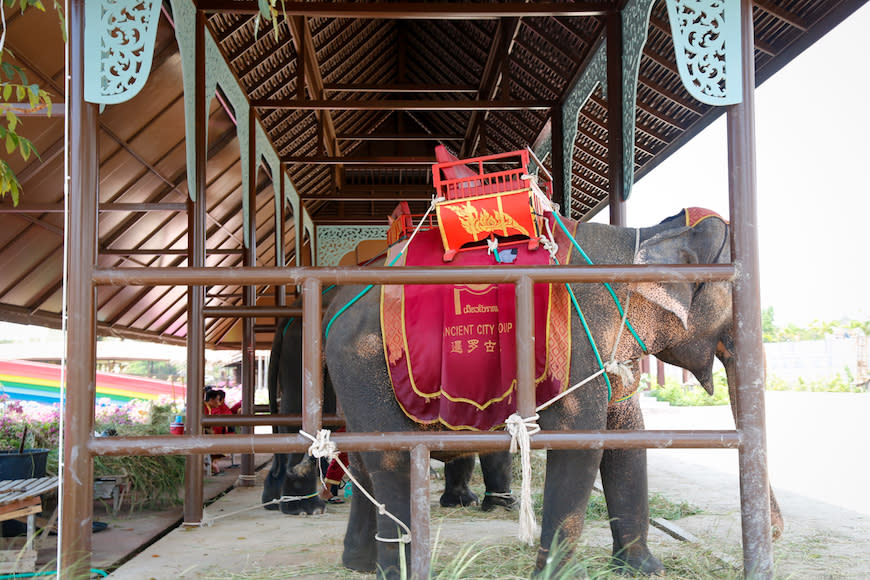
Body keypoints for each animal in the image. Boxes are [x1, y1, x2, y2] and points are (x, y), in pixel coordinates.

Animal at [322, 207, 784, 576]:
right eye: (739, 296)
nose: (777, 533)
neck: (648, 234)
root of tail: (333, 308)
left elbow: (627, 438)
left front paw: (646, 571)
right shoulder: (582, 341)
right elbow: (580, 442)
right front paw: (561, 575)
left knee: (362, 461)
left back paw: (357, 565)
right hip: (365, 362)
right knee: (391, 460)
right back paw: (394, 570)